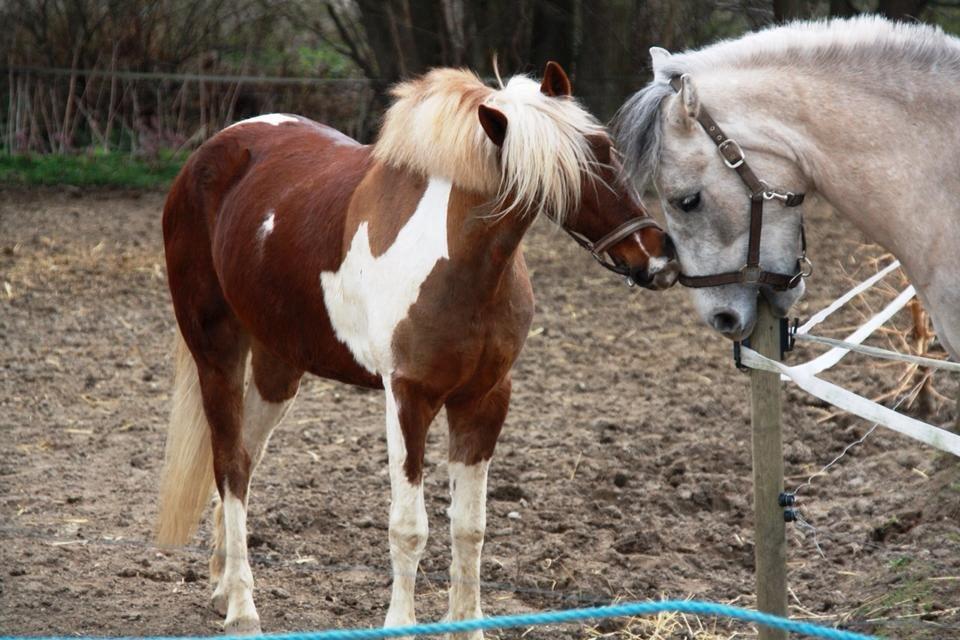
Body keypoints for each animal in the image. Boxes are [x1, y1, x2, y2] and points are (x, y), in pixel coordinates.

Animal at [158, 63, 680, 636]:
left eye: (605, 147)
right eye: (568, 171)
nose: (658, 258)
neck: (462, 264)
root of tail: (209, 155)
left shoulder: (484, 400)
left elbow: (470, 527)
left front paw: (469, 626)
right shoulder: (408, 398)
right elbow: (409, 526)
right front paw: (401, 623)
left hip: (279, 367)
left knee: (245, 464)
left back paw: (223, 587)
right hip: (218, 353)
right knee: (230, 464)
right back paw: (243, 609)